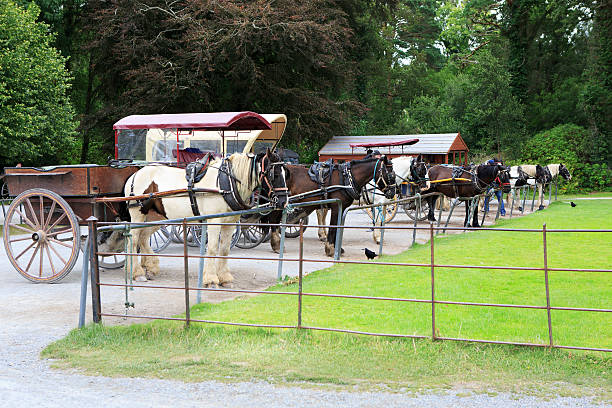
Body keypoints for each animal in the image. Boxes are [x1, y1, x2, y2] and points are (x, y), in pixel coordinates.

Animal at [103, 148, 290, 286]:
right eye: (274, 174)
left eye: (285, 173)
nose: (283, 201)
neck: (226, 183)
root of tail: (135, 175)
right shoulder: (214, 221)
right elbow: (213, 248)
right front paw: (211, 280)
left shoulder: (230, 222)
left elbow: (224, 249)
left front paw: (225, 278)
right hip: (138, 215)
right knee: (133, 240)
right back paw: (136, 273)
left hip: (157, 218)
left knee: (143, 238)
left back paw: (150, 267)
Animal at [260, 155, 394, 256]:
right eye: (390, 175)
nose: (392, 192)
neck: (347, 178)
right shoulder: (336, 207)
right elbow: (333, 226)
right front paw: (330, 249)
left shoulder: (342, 208)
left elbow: (338, 226)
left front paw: (337, 248)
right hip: (280, 201)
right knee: (273, 219)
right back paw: (276, 245)